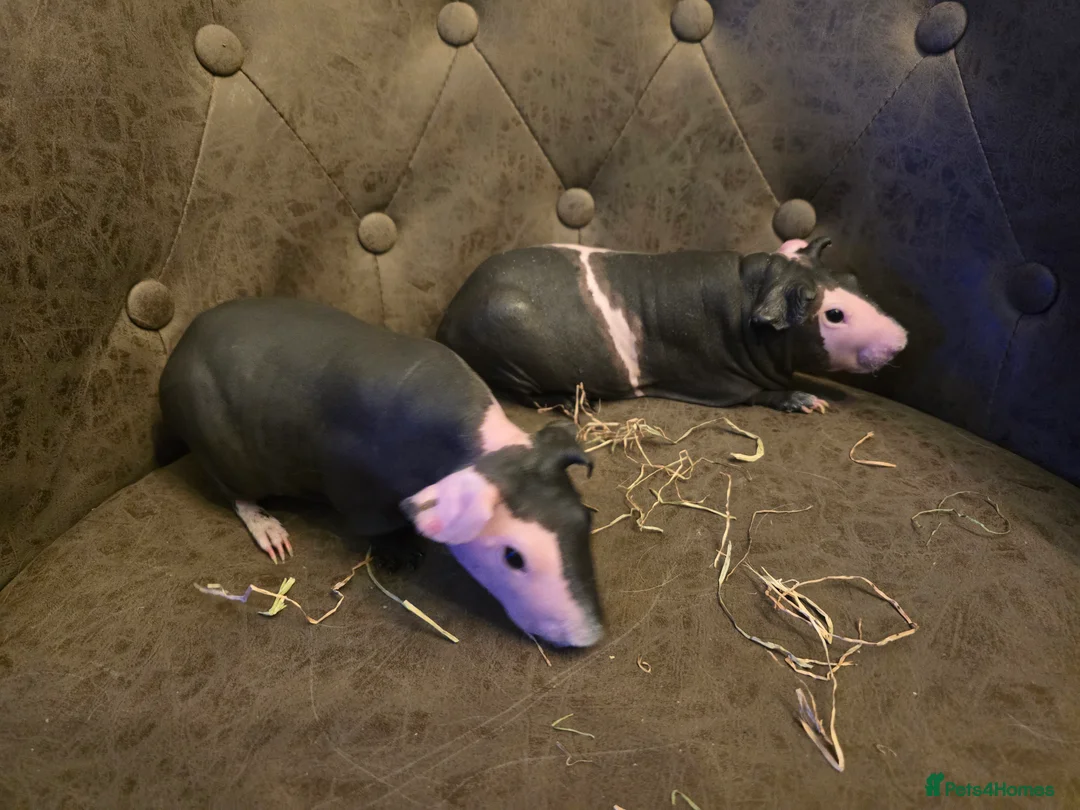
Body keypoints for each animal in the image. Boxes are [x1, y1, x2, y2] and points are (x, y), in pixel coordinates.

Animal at [159, 297, 603, 648]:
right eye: (514, 557)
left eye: (583, 518)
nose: (590, 637)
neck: (482, 449)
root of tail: (174, 359)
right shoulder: (357, 489)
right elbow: (379, 525)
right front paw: (404, 555)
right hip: (224, 457)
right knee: (236, 495)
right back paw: (271, 532)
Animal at [436, 237, 907, 414]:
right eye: (833, 314)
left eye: (851, 280)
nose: (903, 340)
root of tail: (448, 322)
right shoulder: (721, 382)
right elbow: (760, 394)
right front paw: (809, 402)